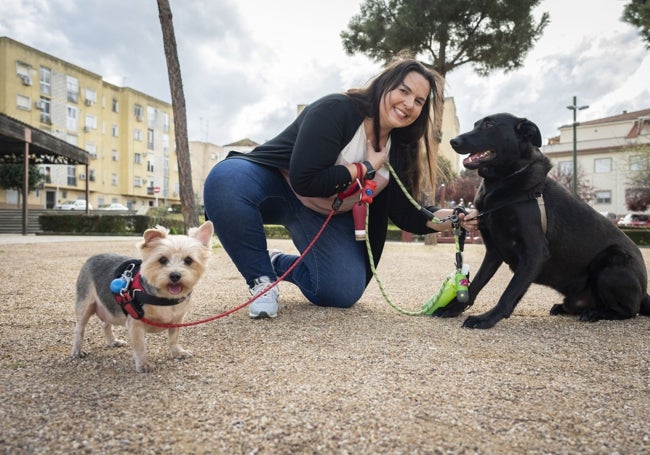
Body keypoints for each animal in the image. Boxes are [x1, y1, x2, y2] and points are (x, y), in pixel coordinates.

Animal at [71, 222, 213, 374]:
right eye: (162, 260)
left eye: (188, 260)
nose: (175, 275)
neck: (165, 298)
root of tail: (93, 257)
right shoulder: (135, 323)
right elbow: (140, 346)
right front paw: (143, 364)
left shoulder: (177, 320)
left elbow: (173, 339)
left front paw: (177, 352)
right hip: (85, 305)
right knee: (79, 329)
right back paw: (77, 350)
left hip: (109, 308)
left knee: (105, 324)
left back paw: (113, 341)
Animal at [436, 112, 648, 330]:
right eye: (475, 124)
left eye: (489, 124)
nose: (453, 141)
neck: (503, 181)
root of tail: (644, 292)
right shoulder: (494, 251)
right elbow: (476, 284)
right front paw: (453, 308)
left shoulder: (535, 252)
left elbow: (509, 293)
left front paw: (486, 318)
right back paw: (567, 308)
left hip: (613, 261)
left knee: (629, 311)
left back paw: (597, 313)